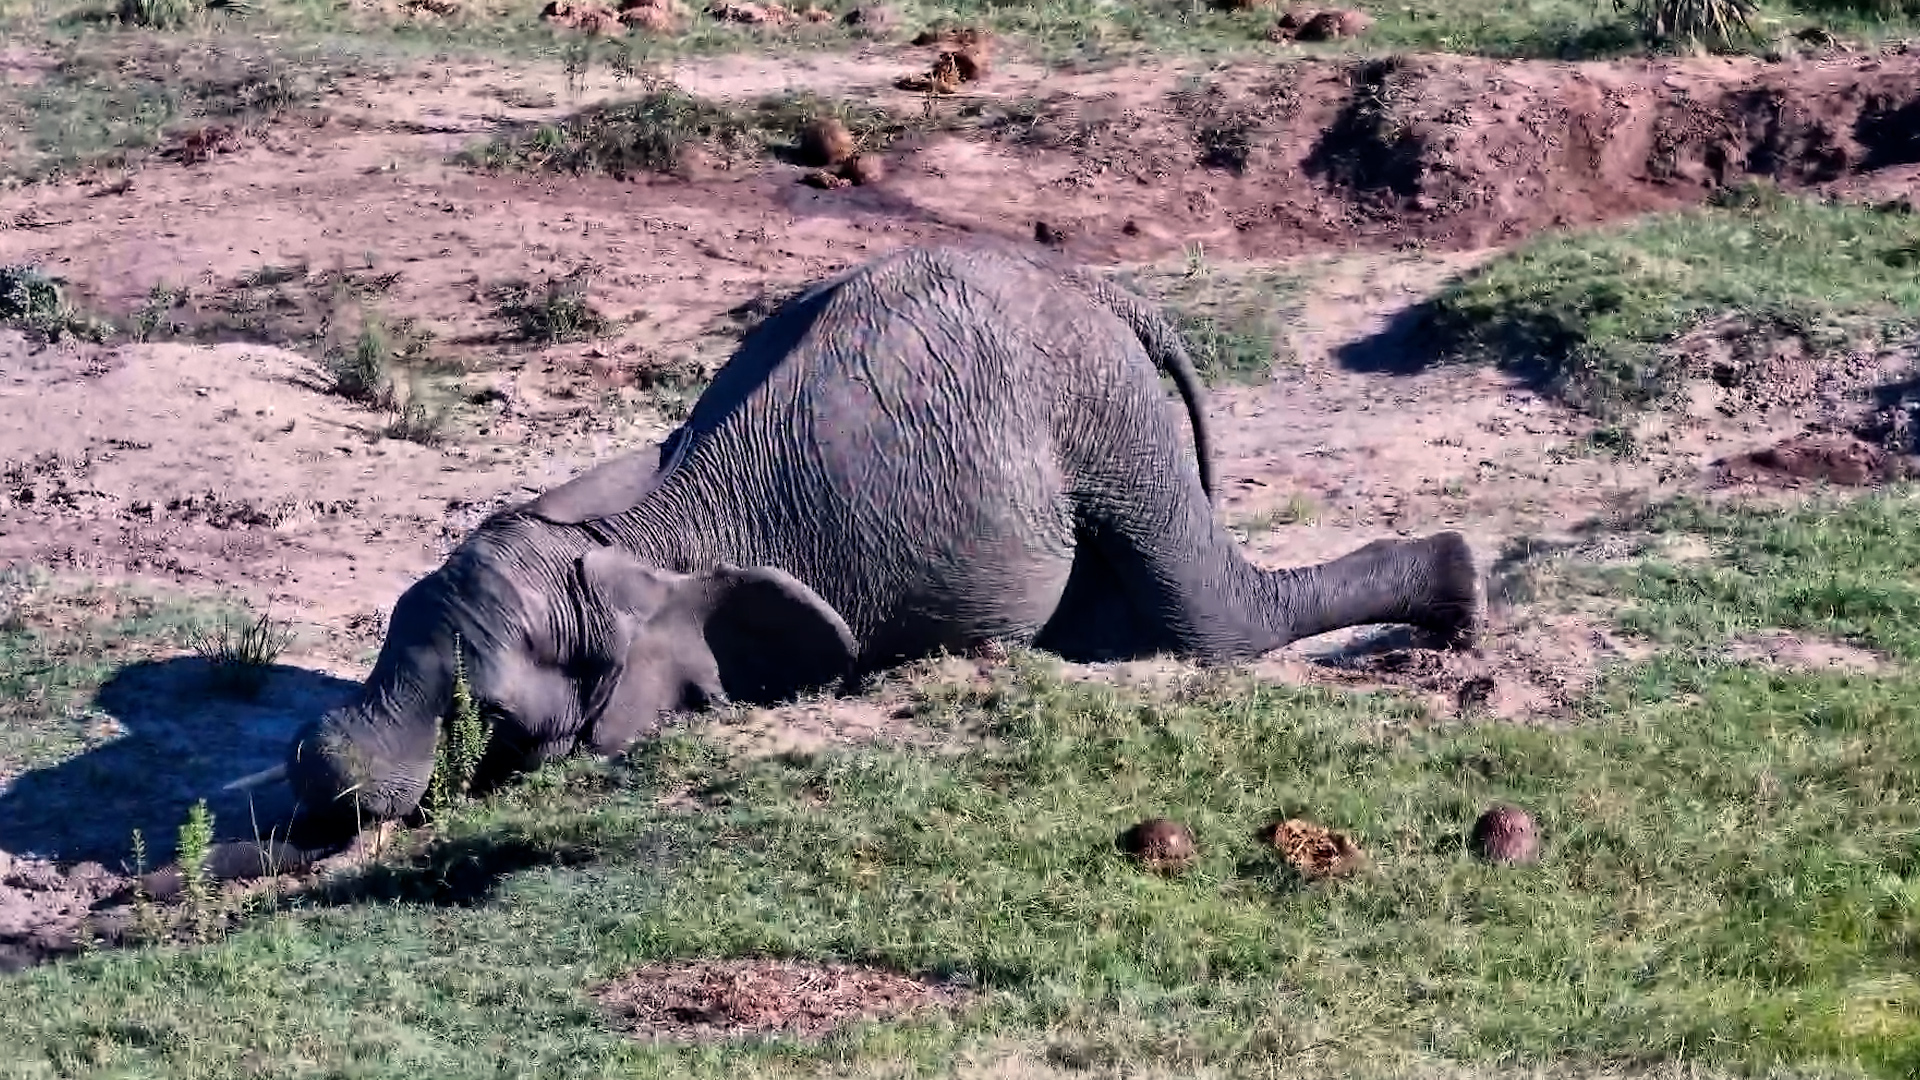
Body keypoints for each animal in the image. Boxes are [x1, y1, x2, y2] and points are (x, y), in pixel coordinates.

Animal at [243, 241, 1480, 834]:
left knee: (1208, 623)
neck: (645, 536)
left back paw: (1457, 596)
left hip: (1104, 410)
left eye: (487, 716)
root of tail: (1106, 291)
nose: (309, 771)